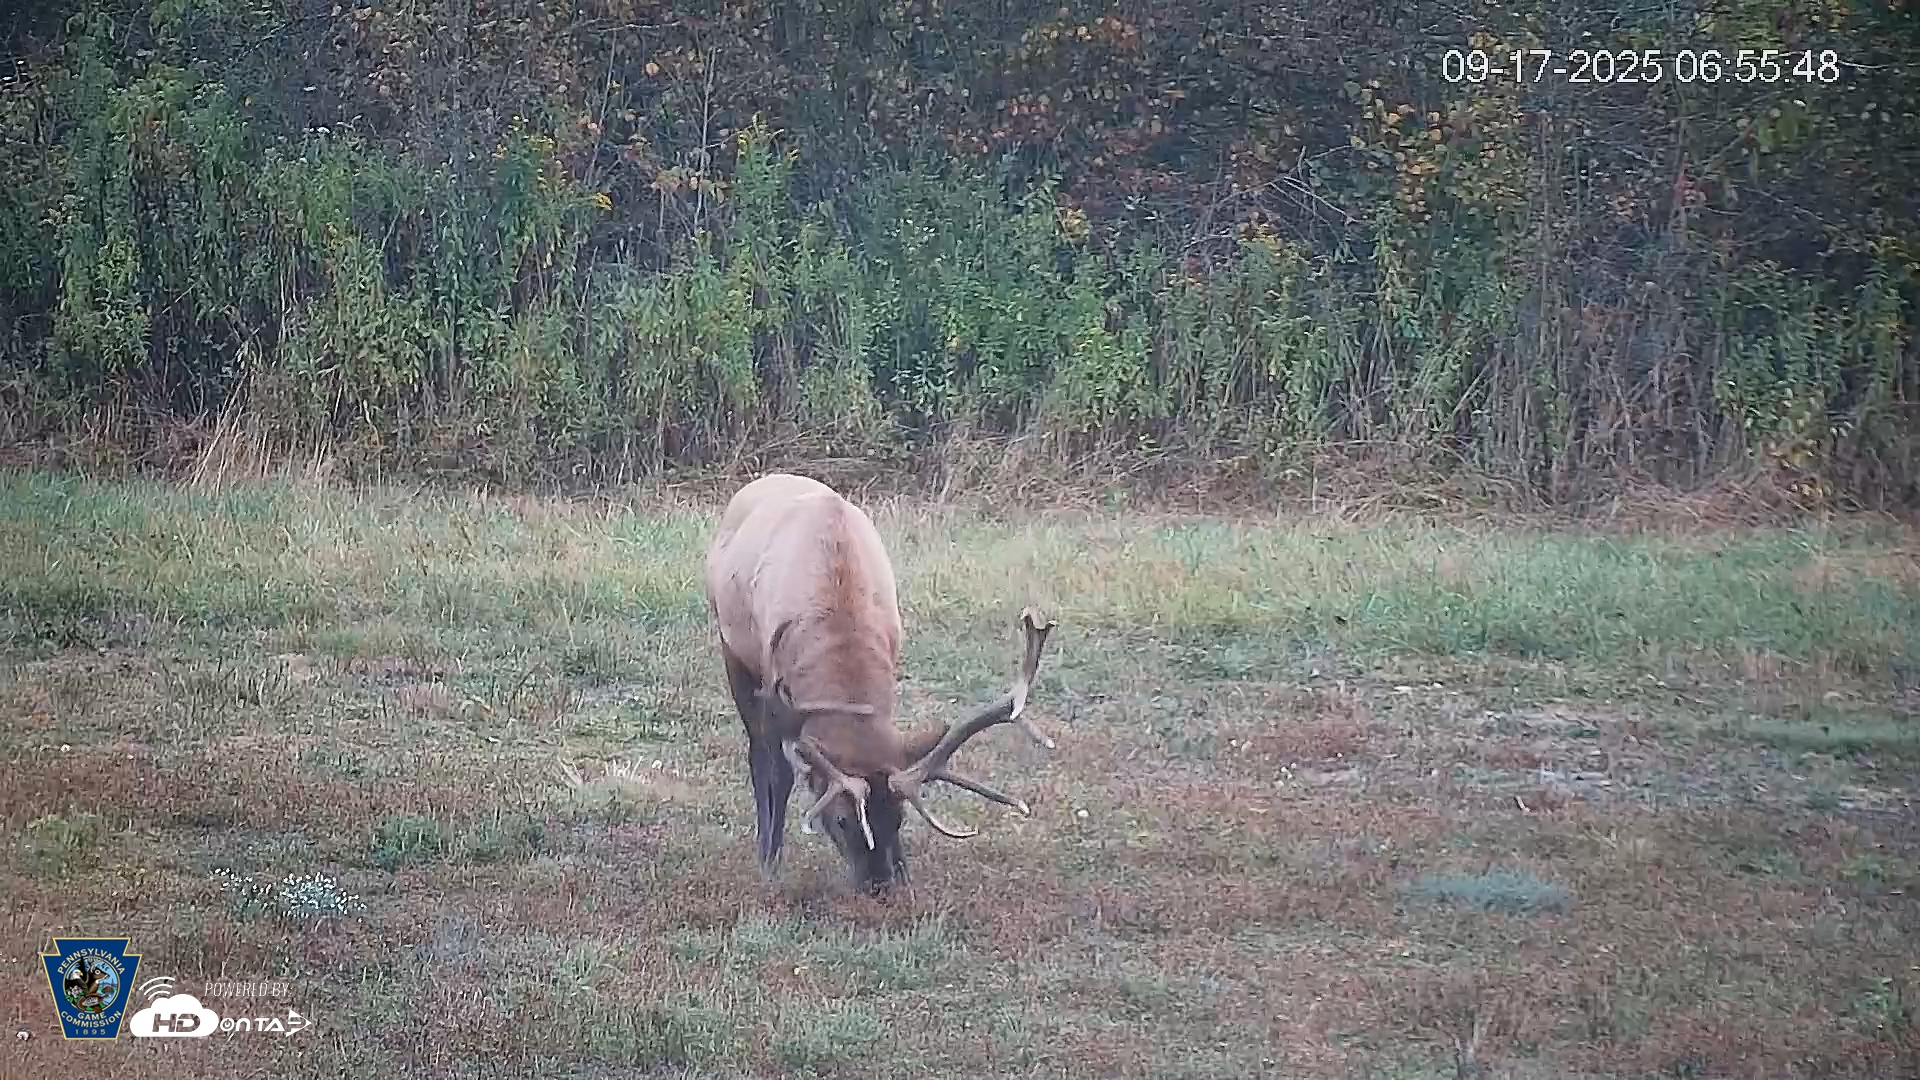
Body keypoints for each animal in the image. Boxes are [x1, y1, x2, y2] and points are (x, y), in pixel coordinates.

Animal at [703, 473, 1056, 894]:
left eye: (899, 817)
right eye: (841, 819)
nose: (880, 885)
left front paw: (905, 869)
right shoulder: (774, 685)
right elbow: (779, 771)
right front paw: (771, 862)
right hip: (733, 650)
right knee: (761, 758)